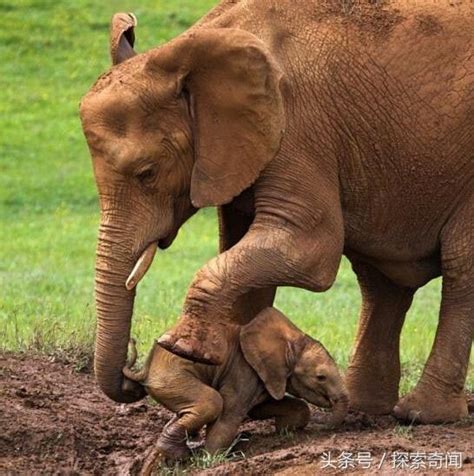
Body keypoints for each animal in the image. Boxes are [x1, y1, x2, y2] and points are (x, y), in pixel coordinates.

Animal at [79, 0, 472, 424]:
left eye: (147, 173)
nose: (131, 375)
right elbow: (244, 255)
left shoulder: (300, 127)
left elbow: (308, 249)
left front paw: (182, 347)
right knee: (379, 282)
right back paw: (366, 408)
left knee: (459, 267)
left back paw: (422, 414)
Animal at [124, 306, 348, 460]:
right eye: (321, 377)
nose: (323, 427)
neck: (291, 340)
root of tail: (145, 369)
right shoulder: (242, 370)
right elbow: (230, 415)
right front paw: (210, 460)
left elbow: (260, 408)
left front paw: (284, 431)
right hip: (172, 377)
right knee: (211, 402)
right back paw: (178, 454)